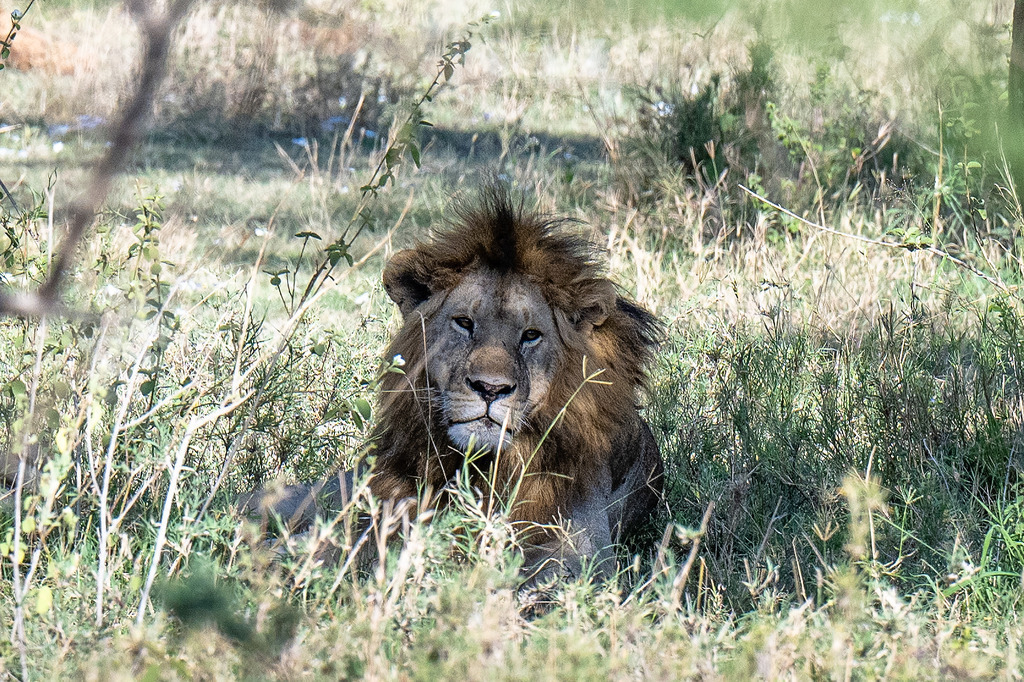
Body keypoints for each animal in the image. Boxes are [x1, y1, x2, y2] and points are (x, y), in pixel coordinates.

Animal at [249, 186, 665, 580]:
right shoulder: (384, 508)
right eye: (464, 323)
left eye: (531, 336)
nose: (490, 389)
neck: (483, 468)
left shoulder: (583, 547)